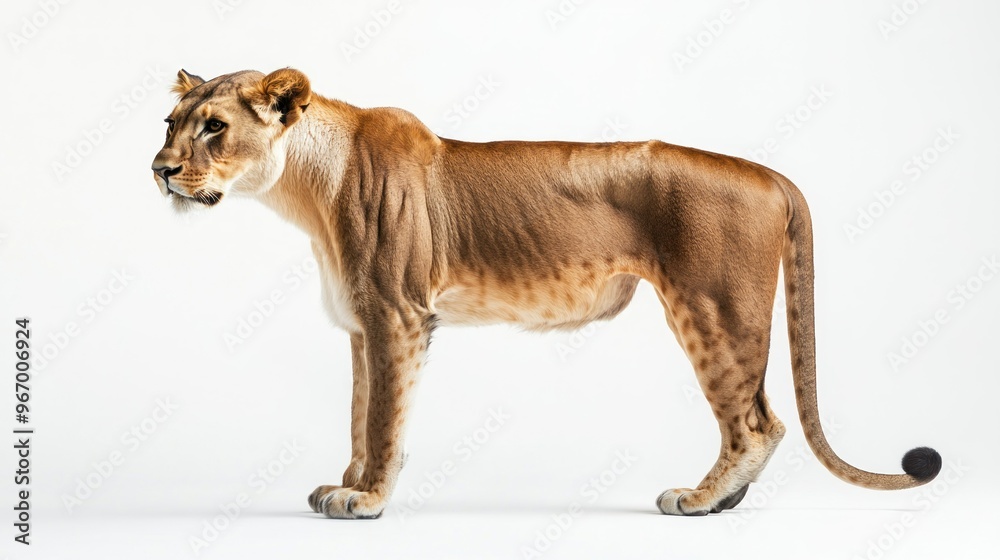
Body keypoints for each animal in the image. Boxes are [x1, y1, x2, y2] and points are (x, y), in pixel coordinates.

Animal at [151, 68, 942, 519]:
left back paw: (698, 500)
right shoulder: (361, 325)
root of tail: (769, 173)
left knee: (757, 423)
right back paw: (726, 501)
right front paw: (343, 483)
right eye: (170, 124)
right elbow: (357, 410)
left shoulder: (396, 315)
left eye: (215, 127)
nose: (159, 170)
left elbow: (382, 418)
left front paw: (367, 499)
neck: (307, 188)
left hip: (714, 308)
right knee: (760, 418)